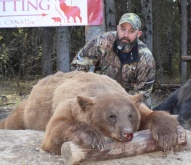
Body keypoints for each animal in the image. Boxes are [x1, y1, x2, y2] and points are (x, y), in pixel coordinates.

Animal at [0, 71, 178, 155]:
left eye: (130, 115)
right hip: (31, 111)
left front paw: (167, 137)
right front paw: (93, 137)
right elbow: (55, 129)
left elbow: (153, 114)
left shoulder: (133, 102)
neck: (99, 88)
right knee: (15, 119)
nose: (127, 133)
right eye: (111, 116)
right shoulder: (69, 106)